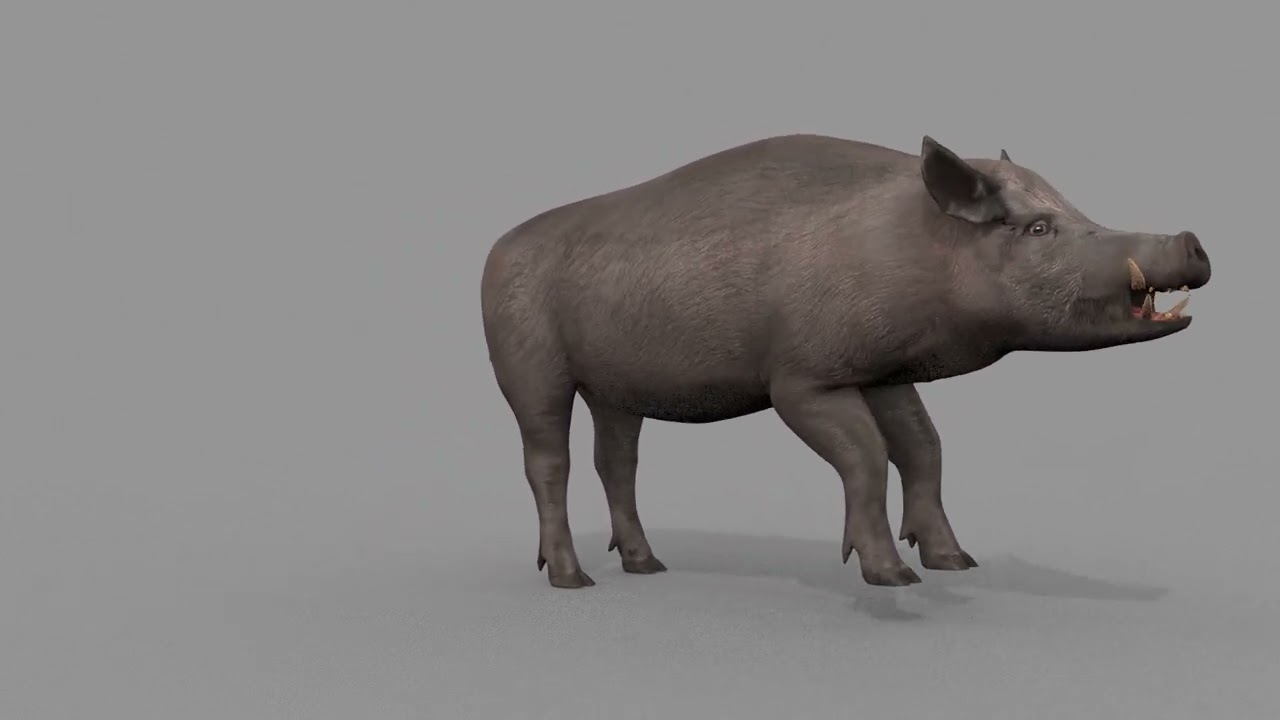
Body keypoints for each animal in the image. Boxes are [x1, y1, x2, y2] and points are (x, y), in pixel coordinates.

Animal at [479, 133, 1212, 589]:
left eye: (1075, 209)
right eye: (1037, 228)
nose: (1190, 239)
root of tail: (496, 249)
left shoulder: (884, 372)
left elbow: (924, 447)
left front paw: (958, 564)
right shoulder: (803, 379)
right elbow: (867, 456)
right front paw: (894, 577)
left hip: (613, 386)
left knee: (617, 461)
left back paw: (648, 567)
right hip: (527, 363)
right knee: (546, 462)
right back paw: (572, 580)